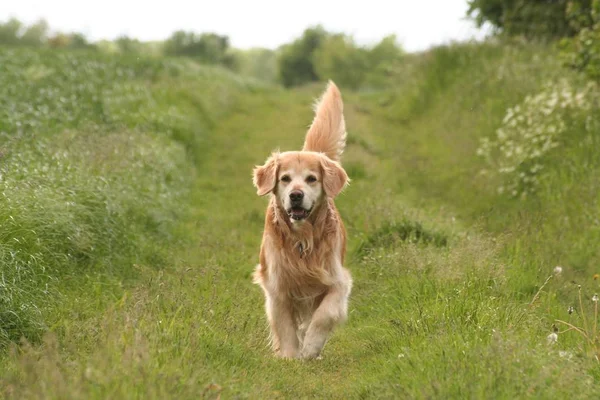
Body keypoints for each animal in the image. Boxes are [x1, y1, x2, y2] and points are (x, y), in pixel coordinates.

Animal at [252, 81, 352, 360]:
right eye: (285, 178)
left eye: (311, 179)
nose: (296, 195)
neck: (302, 239)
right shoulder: (277, 286)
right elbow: (285, 326)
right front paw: (289, 357)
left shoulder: (338, 280)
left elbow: (324, 315)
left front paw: (309, 348)